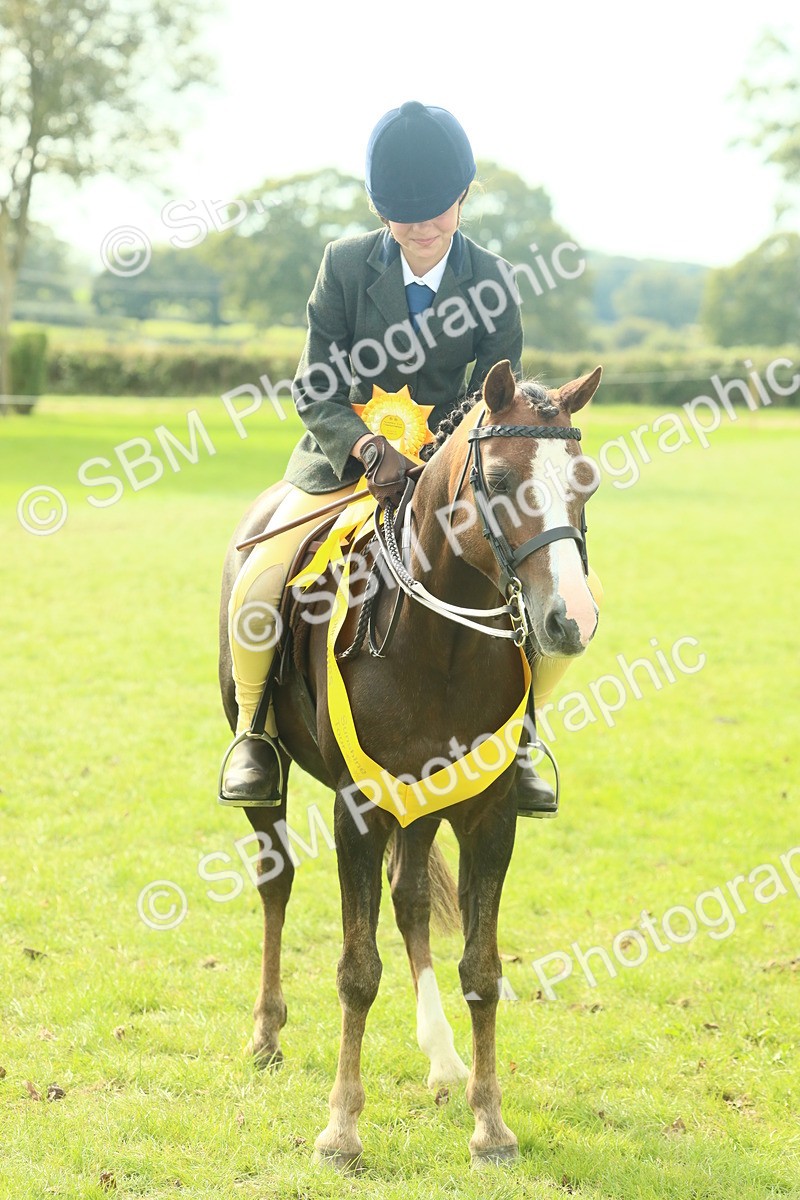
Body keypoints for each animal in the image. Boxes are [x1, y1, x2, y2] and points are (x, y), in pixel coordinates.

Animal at [218, 359, 602, 1169]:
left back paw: (444, 1059)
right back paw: (266, 1033)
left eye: (584, 479)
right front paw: (340, 1130)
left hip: (425, 805)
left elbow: (482, 969)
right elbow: (356, 971)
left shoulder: (488, 814)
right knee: (276, 884)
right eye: (497, 477)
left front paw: (490, 1125)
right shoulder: (359, 809)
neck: (443, 643)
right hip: (277, 784)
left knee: (411, 900)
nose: (571, 619)